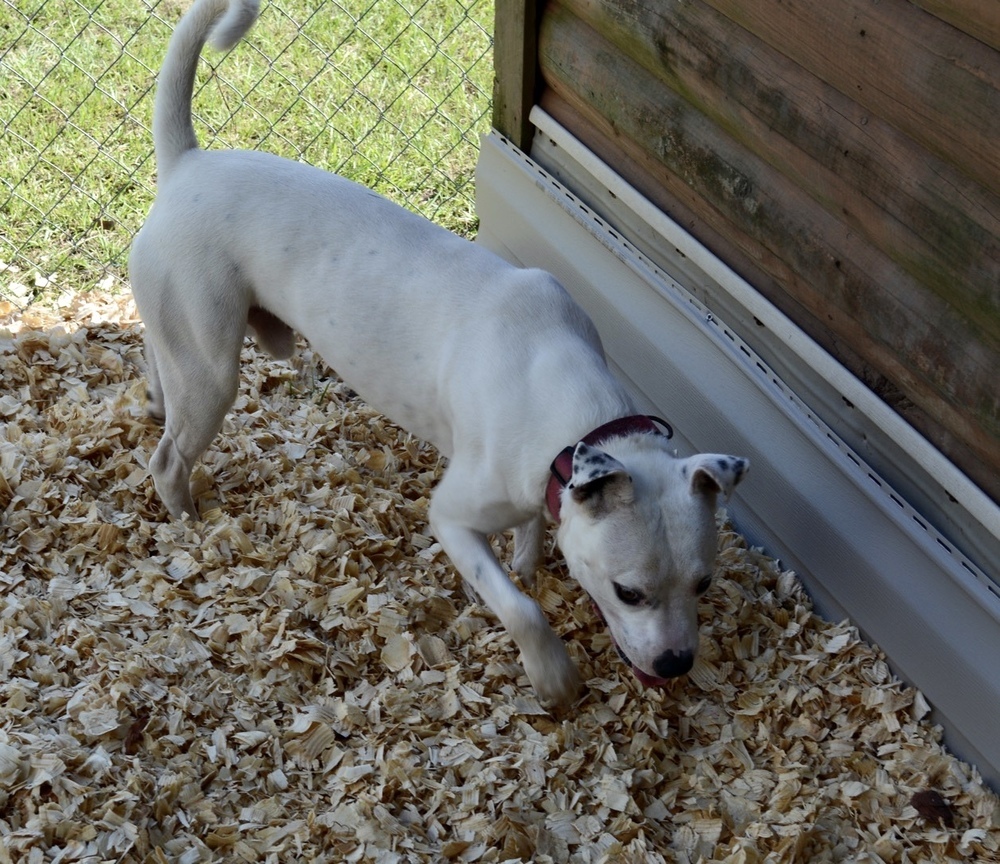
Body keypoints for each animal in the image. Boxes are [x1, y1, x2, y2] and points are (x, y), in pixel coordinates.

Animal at [129, 0, 748, 704]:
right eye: (629, 592)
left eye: (703, 583)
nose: (676, 663)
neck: (566, 402)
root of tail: (187, 164)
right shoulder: (453, 518)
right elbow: (519, 608)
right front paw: (554, 676)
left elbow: (532, 538)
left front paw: (529, 561)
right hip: (213, 375)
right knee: (168, 459)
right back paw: (189, 526)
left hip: (185, 338)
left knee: (158, 361)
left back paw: (155, 404)